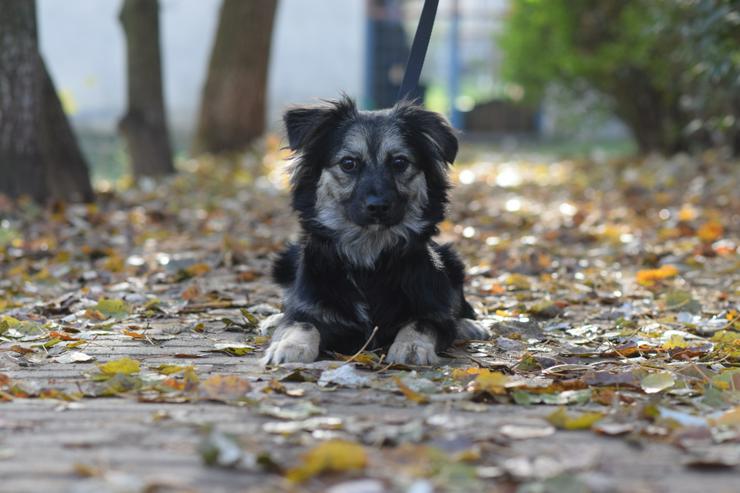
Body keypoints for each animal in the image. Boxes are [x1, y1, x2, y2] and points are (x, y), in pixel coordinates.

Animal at [260, 97, 486, 366]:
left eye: (399, 163)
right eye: (348, 163)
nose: (378, 206)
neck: (369, 257)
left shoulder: (431, 309)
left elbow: (421, 324)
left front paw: (412, 346)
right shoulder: (310, 306)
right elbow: (301, 322)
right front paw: (289, 345)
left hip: (451, 261)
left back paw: (469, 325)